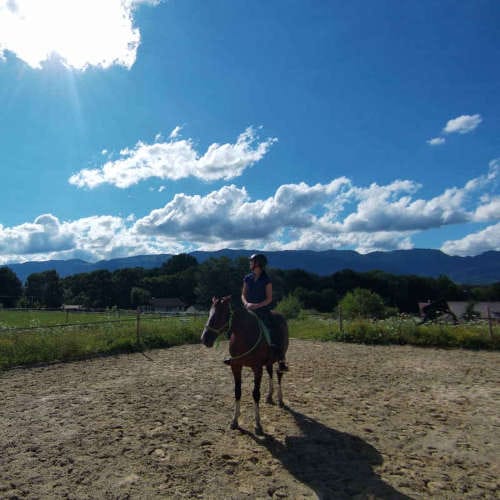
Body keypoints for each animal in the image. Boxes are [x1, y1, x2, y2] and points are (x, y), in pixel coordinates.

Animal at [200, 296, 290, 434]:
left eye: (219, 315)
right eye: (209, 313)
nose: (204, 339)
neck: (245, 335)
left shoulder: (257, 368)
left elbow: (256, 394)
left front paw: (258, 424)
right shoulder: (236, 366)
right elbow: (237, 392)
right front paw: (234, 421)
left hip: (281, 357)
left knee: (279, 375)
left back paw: (280, 399)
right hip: (269, 361)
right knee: (270, 373)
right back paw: (269, 396)